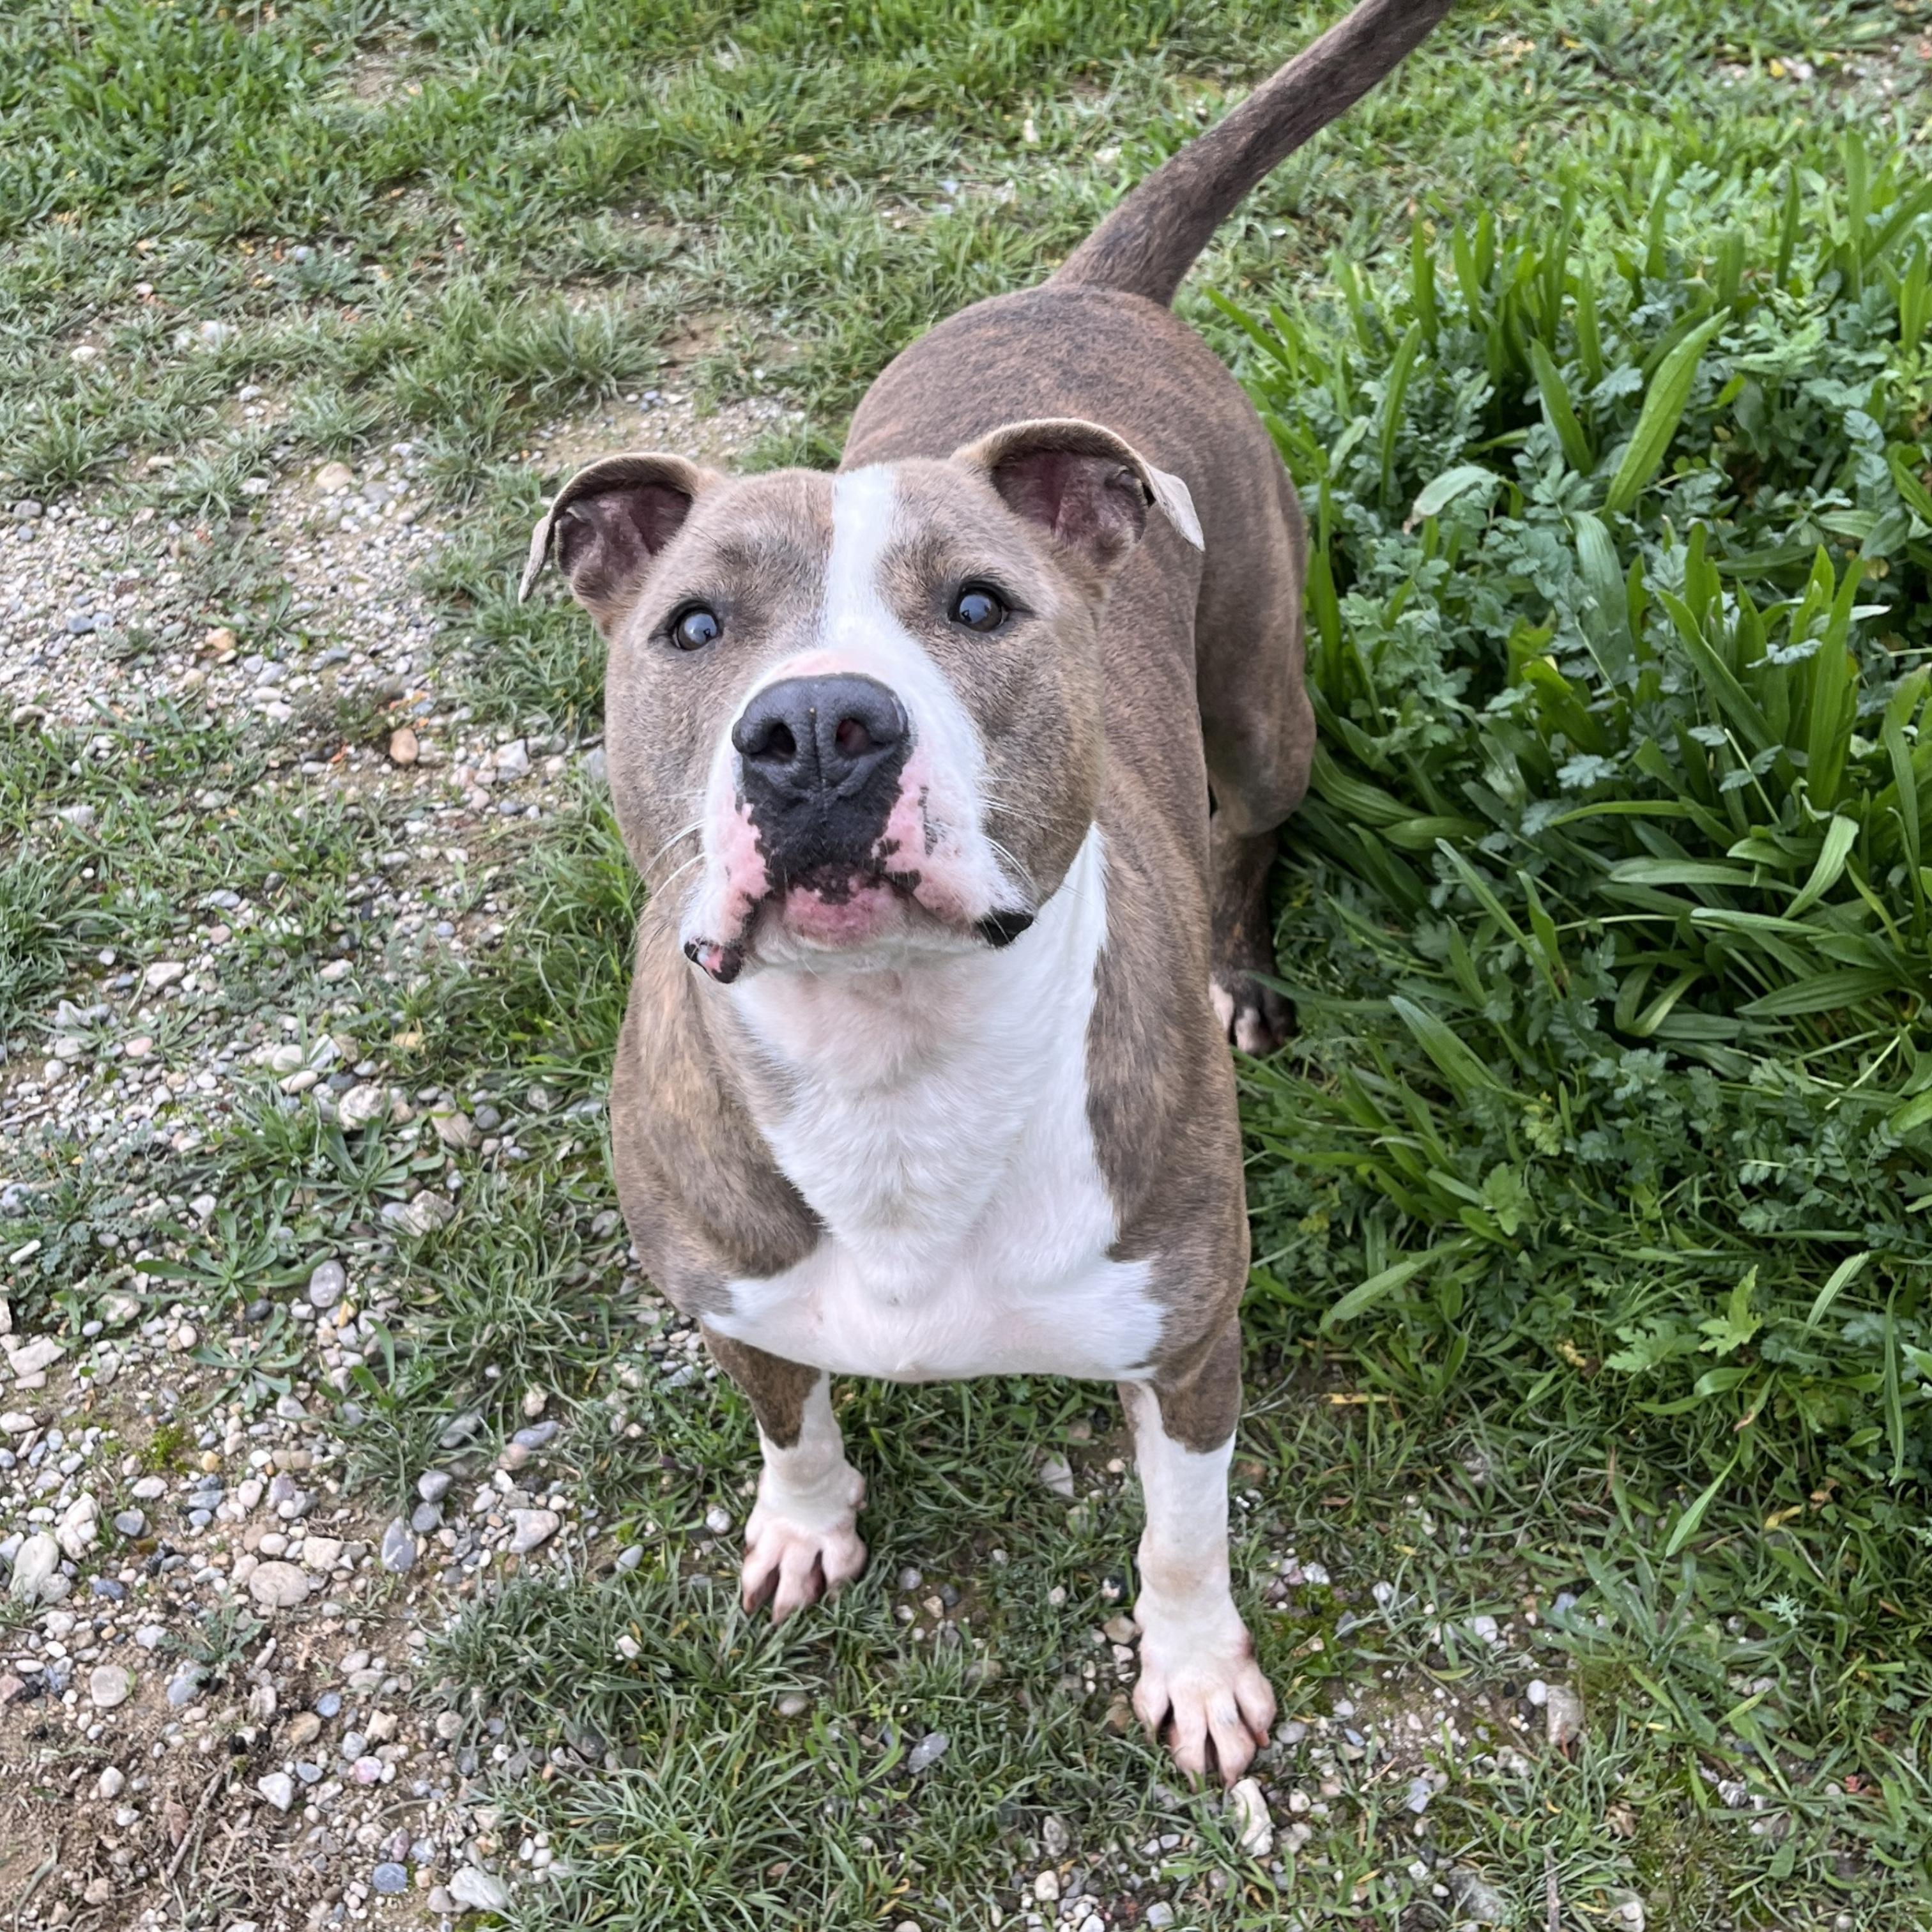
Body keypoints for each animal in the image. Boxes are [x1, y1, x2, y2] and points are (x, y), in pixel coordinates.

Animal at [520, 0, 1453, 1784]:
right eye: (692, 627)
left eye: (977, 606)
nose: (820, 729)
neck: (892, 1063)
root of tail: (1083, 288)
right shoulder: (733, 1295)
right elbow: (790, 1421)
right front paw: (804, 1525)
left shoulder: (1189, 1341)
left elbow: (1184, 1532)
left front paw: (1198, 1669)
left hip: (1267, 709)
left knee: (1257, 823)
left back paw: (1244, 973)